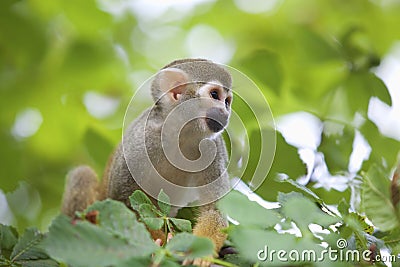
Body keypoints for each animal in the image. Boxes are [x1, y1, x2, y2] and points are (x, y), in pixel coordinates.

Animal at [61, 59, 233, 264]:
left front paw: (201, 251)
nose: (226, 112)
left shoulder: (213, 147)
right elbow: (123, 202)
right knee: (83, 175)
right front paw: (161, 241)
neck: (181, 135)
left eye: (227, 101)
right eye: (215, 95)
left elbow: (214, 210)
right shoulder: (141, 140)